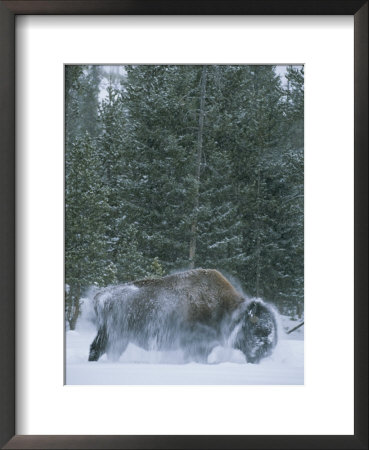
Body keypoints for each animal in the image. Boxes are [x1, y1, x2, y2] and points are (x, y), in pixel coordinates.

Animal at [87, 268, 276, 364]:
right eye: (259, 330)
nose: (266, 352)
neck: (225, 307)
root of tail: (100, 295)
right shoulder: (197, 345)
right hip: (112, 335)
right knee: (97, 349)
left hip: (119, 338)